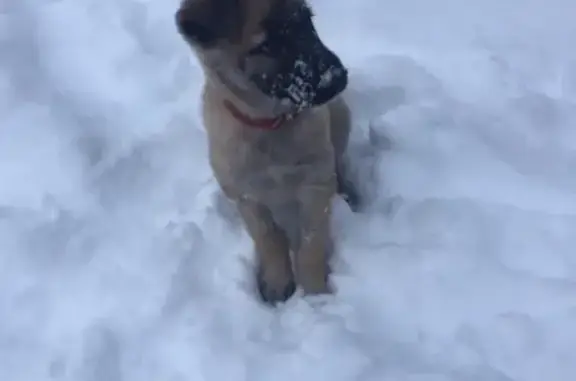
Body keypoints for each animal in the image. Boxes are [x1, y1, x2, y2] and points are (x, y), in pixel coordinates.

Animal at [174, 0, 360, 304]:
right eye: (266, 46)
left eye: (306, 19)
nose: (337, 78)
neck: (269, 125)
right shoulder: (246, 195)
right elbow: (268, 238)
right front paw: (277, 282)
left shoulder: (315, 183)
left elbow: (311, 243)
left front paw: (315, 295)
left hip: (340, 117)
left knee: (340, 164)